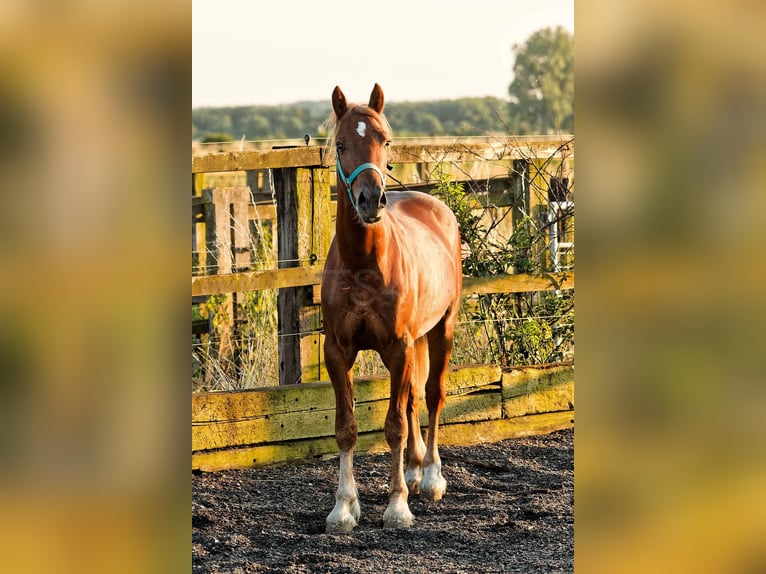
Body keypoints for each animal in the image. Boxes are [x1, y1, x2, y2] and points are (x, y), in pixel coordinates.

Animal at [321, 84, 463, 532]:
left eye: (385, 140)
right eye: (341, 144)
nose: (371, 200)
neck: (364, 263)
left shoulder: (398, 347)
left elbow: (394, 426)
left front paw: (397, 507)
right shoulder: (338, 351)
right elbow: (346, 428)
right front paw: (344, 508)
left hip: (442, 328)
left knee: (432, 395)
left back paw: (431, 477)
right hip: (414, 342)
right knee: (415, 396)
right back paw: (416, 471)